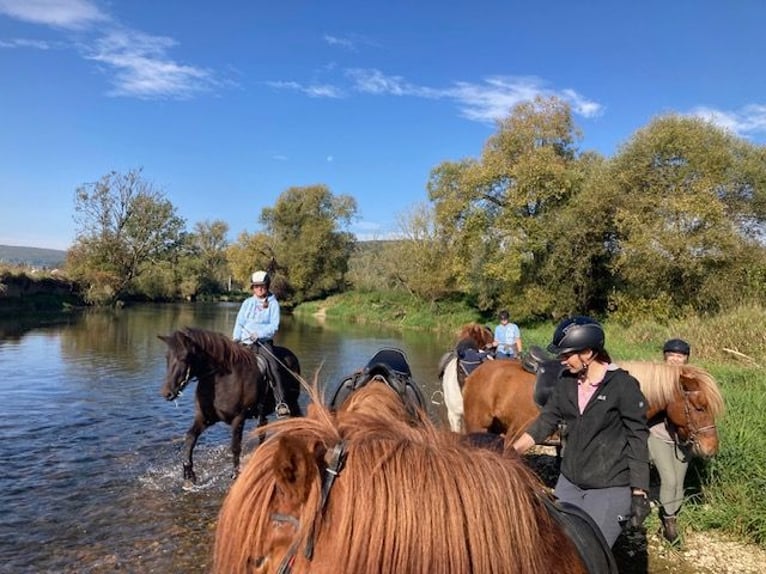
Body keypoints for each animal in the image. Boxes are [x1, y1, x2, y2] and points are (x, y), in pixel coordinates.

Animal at [158, 326, 304, 484]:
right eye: (167, 357)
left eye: (184, 357)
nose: (167, 393)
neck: (222, 381)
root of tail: (291, 356)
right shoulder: (205, 418)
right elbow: (190, 437)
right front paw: (189, 474)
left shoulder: (238, 419)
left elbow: (235, 446)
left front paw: (235, 475)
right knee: (262, 430)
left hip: (292, 402)